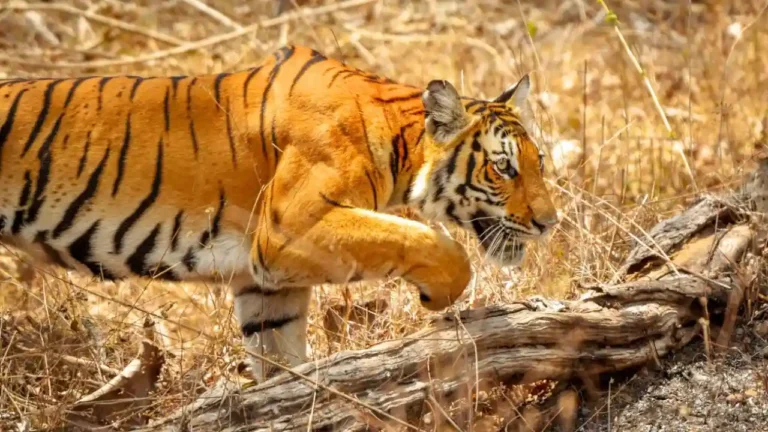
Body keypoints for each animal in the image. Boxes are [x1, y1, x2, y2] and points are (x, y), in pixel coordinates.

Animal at [0, 44, 558, 382]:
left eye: (538, 163)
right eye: (504, 168)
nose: (549, 224)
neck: (400, 140)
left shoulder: (266, 280)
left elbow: (279, 358)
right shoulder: (288, 228)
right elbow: (418, 237)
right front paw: (439, 294)